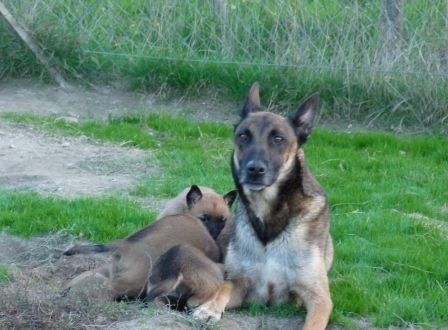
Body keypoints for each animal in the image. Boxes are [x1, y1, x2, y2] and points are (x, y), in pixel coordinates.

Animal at [65, 184, 238, 306]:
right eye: (204, 218)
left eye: (223, 220)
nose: (215, 235)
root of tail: (124, 244)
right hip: (134, 281)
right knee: (107, 288)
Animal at [194, 84, 334, 330]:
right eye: (243, 135)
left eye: (278, 138)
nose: (254, 170)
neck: (269, 217)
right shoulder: (243, 285)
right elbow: (225, 286)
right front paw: (209, 308)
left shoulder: (316, 297)